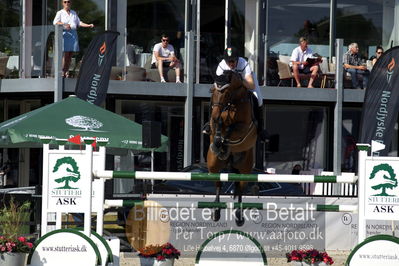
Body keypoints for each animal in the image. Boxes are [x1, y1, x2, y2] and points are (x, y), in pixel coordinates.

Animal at [208, 69, 258, 225]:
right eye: (212, 91)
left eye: (226, 93)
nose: (215, 114)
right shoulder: (214, 123)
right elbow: (218, 125)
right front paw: (218, 143)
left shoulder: (244, 127)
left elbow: (231, 128)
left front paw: (222, 142)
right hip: (213, 164)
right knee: (218, 183)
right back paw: (216, 211)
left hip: (245, 168)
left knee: (240, 188)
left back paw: (239, 216)